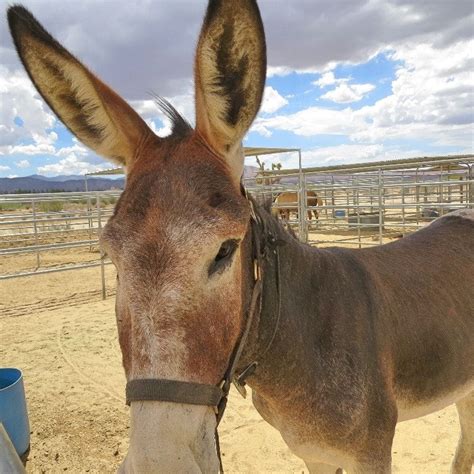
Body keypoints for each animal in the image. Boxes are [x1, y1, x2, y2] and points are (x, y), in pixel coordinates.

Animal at [8, 1, 474, 472]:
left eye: (225, 251)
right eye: (111, 257)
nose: (161, 461)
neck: (306, 339)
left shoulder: (372, 454)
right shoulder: (314, 453)